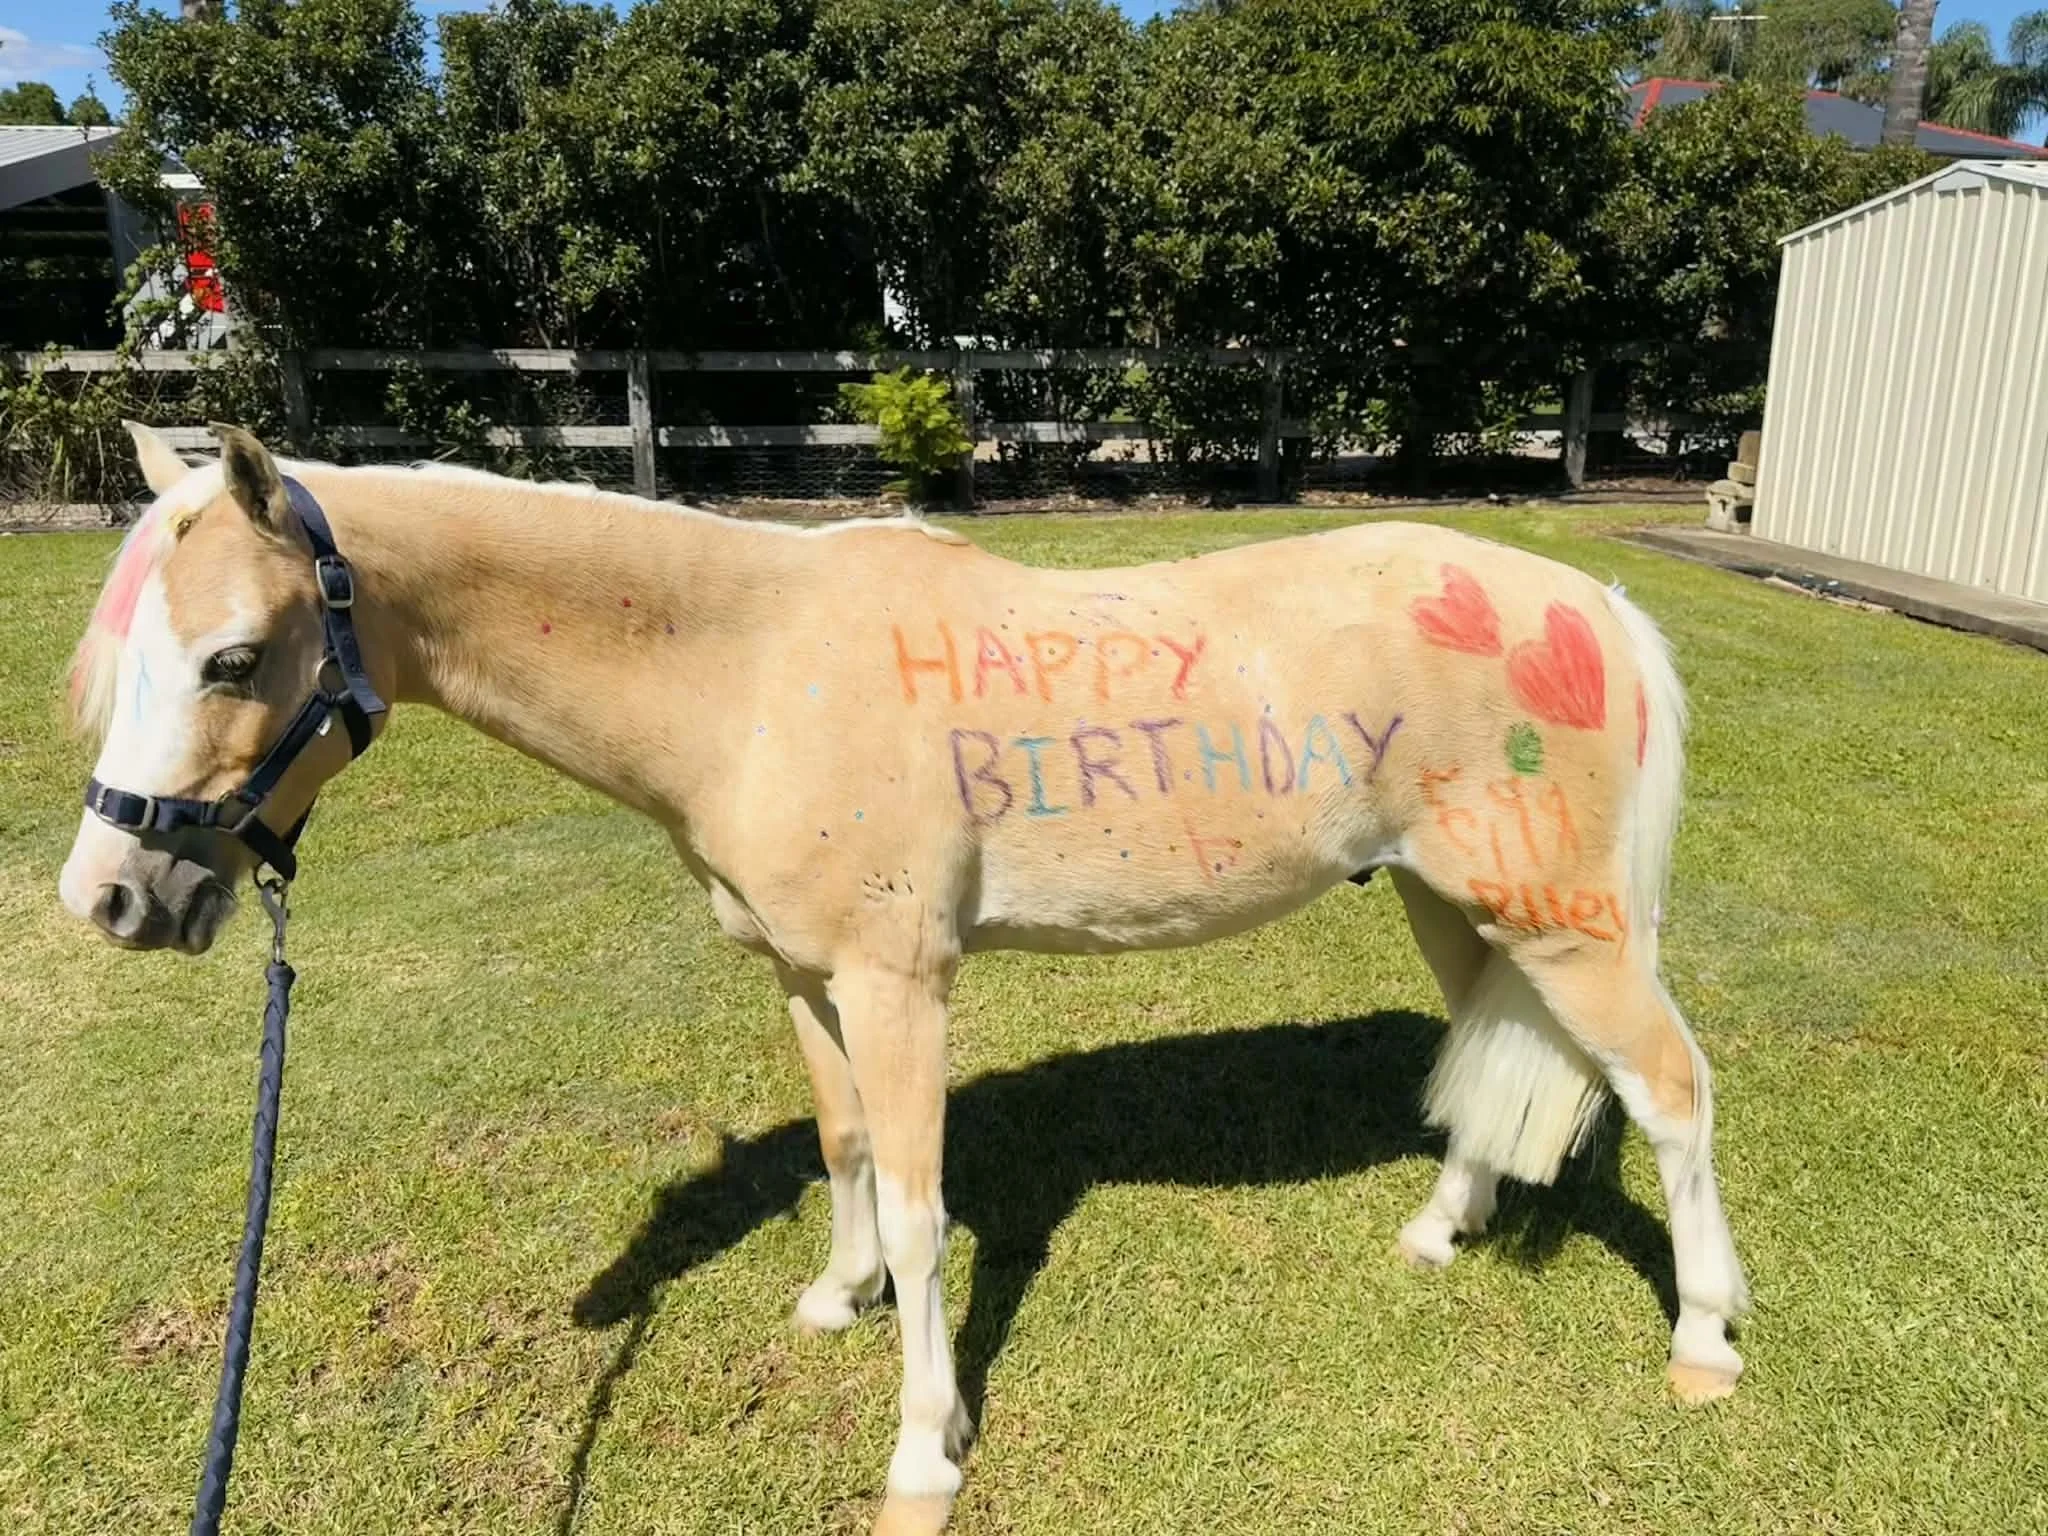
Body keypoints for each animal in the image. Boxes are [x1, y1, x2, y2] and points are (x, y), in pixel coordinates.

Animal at [58, 422, 1749, 1534]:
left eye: (231, 659)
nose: (111, 898)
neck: (749, 671)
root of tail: (1591, 608)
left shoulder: (898, 986)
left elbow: (934, 1207)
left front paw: (925, 1450)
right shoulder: (809, 981)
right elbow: (847, 1148)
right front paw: (836, 1294)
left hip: (1568, 922)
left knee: (1671, 1094)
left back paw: (1703, 1343)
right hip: (1458, 907)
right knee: (1496, 1056)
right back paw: (1439, 1232)